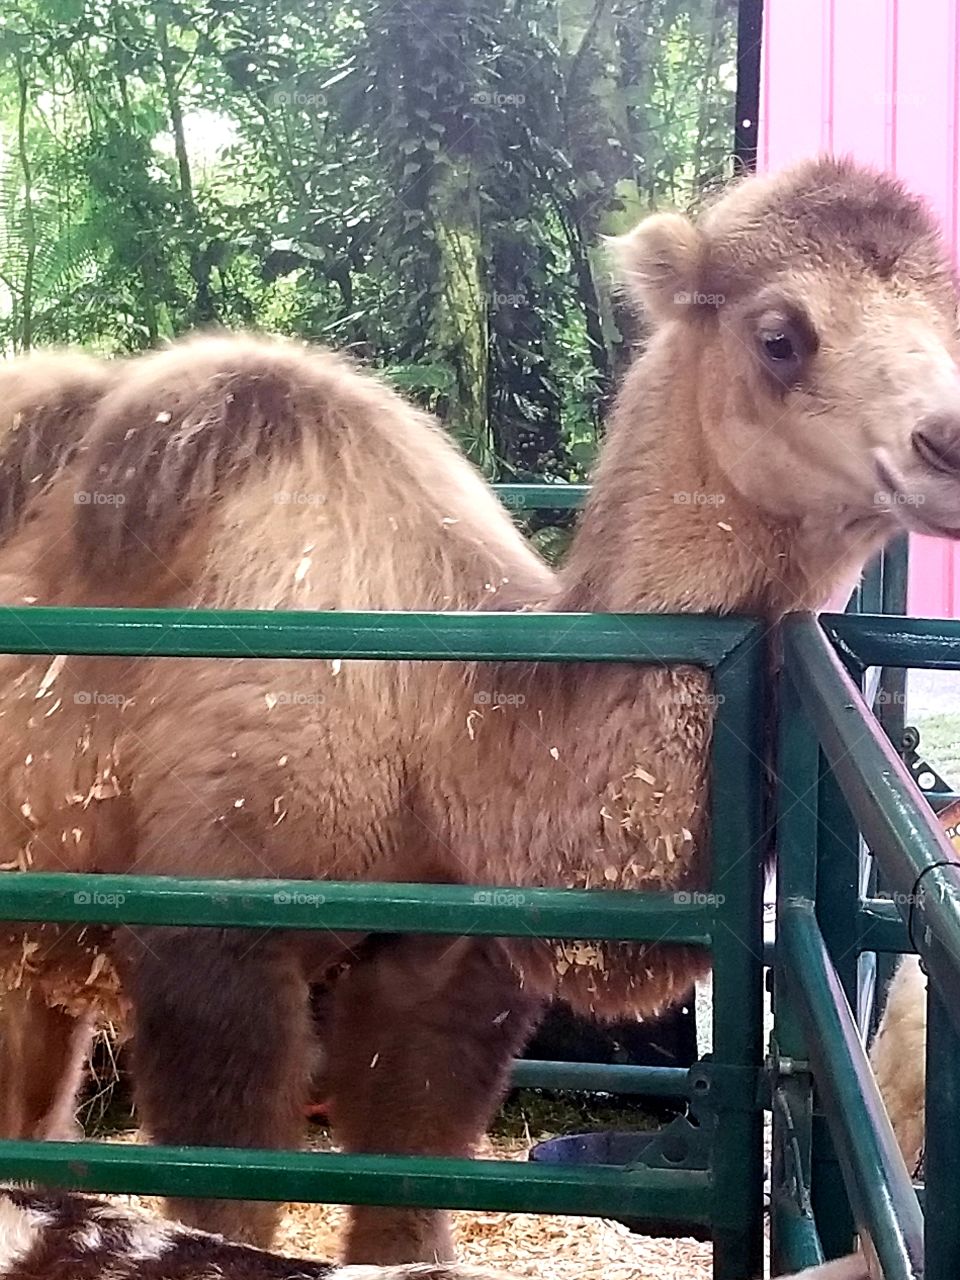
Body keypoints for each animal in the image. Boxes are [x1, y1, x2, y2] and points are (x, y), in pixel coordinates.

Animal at [0, 156, 959, 1266]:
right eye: (779, 335)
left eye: (953, 314)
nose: (949, 440)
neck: (441, 721)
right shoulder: (211, 946)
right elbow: (221, 1217)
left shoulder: (454, 972)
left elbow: (408, 1215)